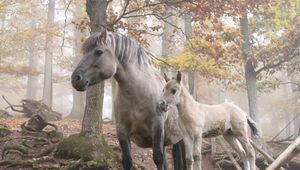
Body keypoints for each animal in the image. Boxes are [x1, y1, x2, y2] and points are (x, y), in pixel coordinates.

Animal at [72, 29, 186, 169]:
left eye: (98, 51)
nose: (75, 79)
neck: (137, 95)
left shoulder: (157, 127)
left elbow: (157, 159)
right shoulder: (122, 130)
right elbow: (127, 160)